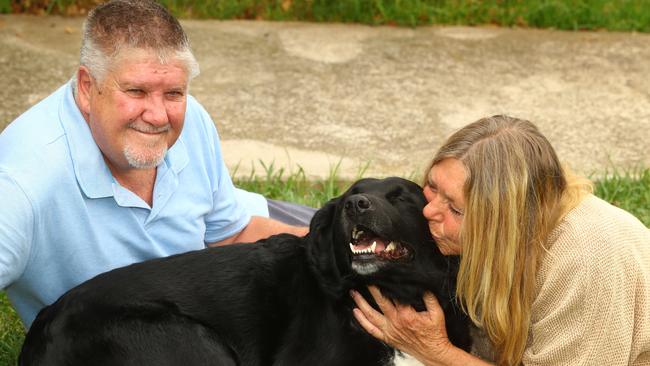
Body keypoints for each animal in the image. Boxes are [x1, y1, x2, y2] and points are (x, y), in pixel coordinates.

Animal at [19, 177, 466, 364]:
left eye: (401, 197)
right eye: (350, 196)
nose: (356, 206)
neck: (393, 291)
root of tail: (43, 323)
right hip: (193, 341)